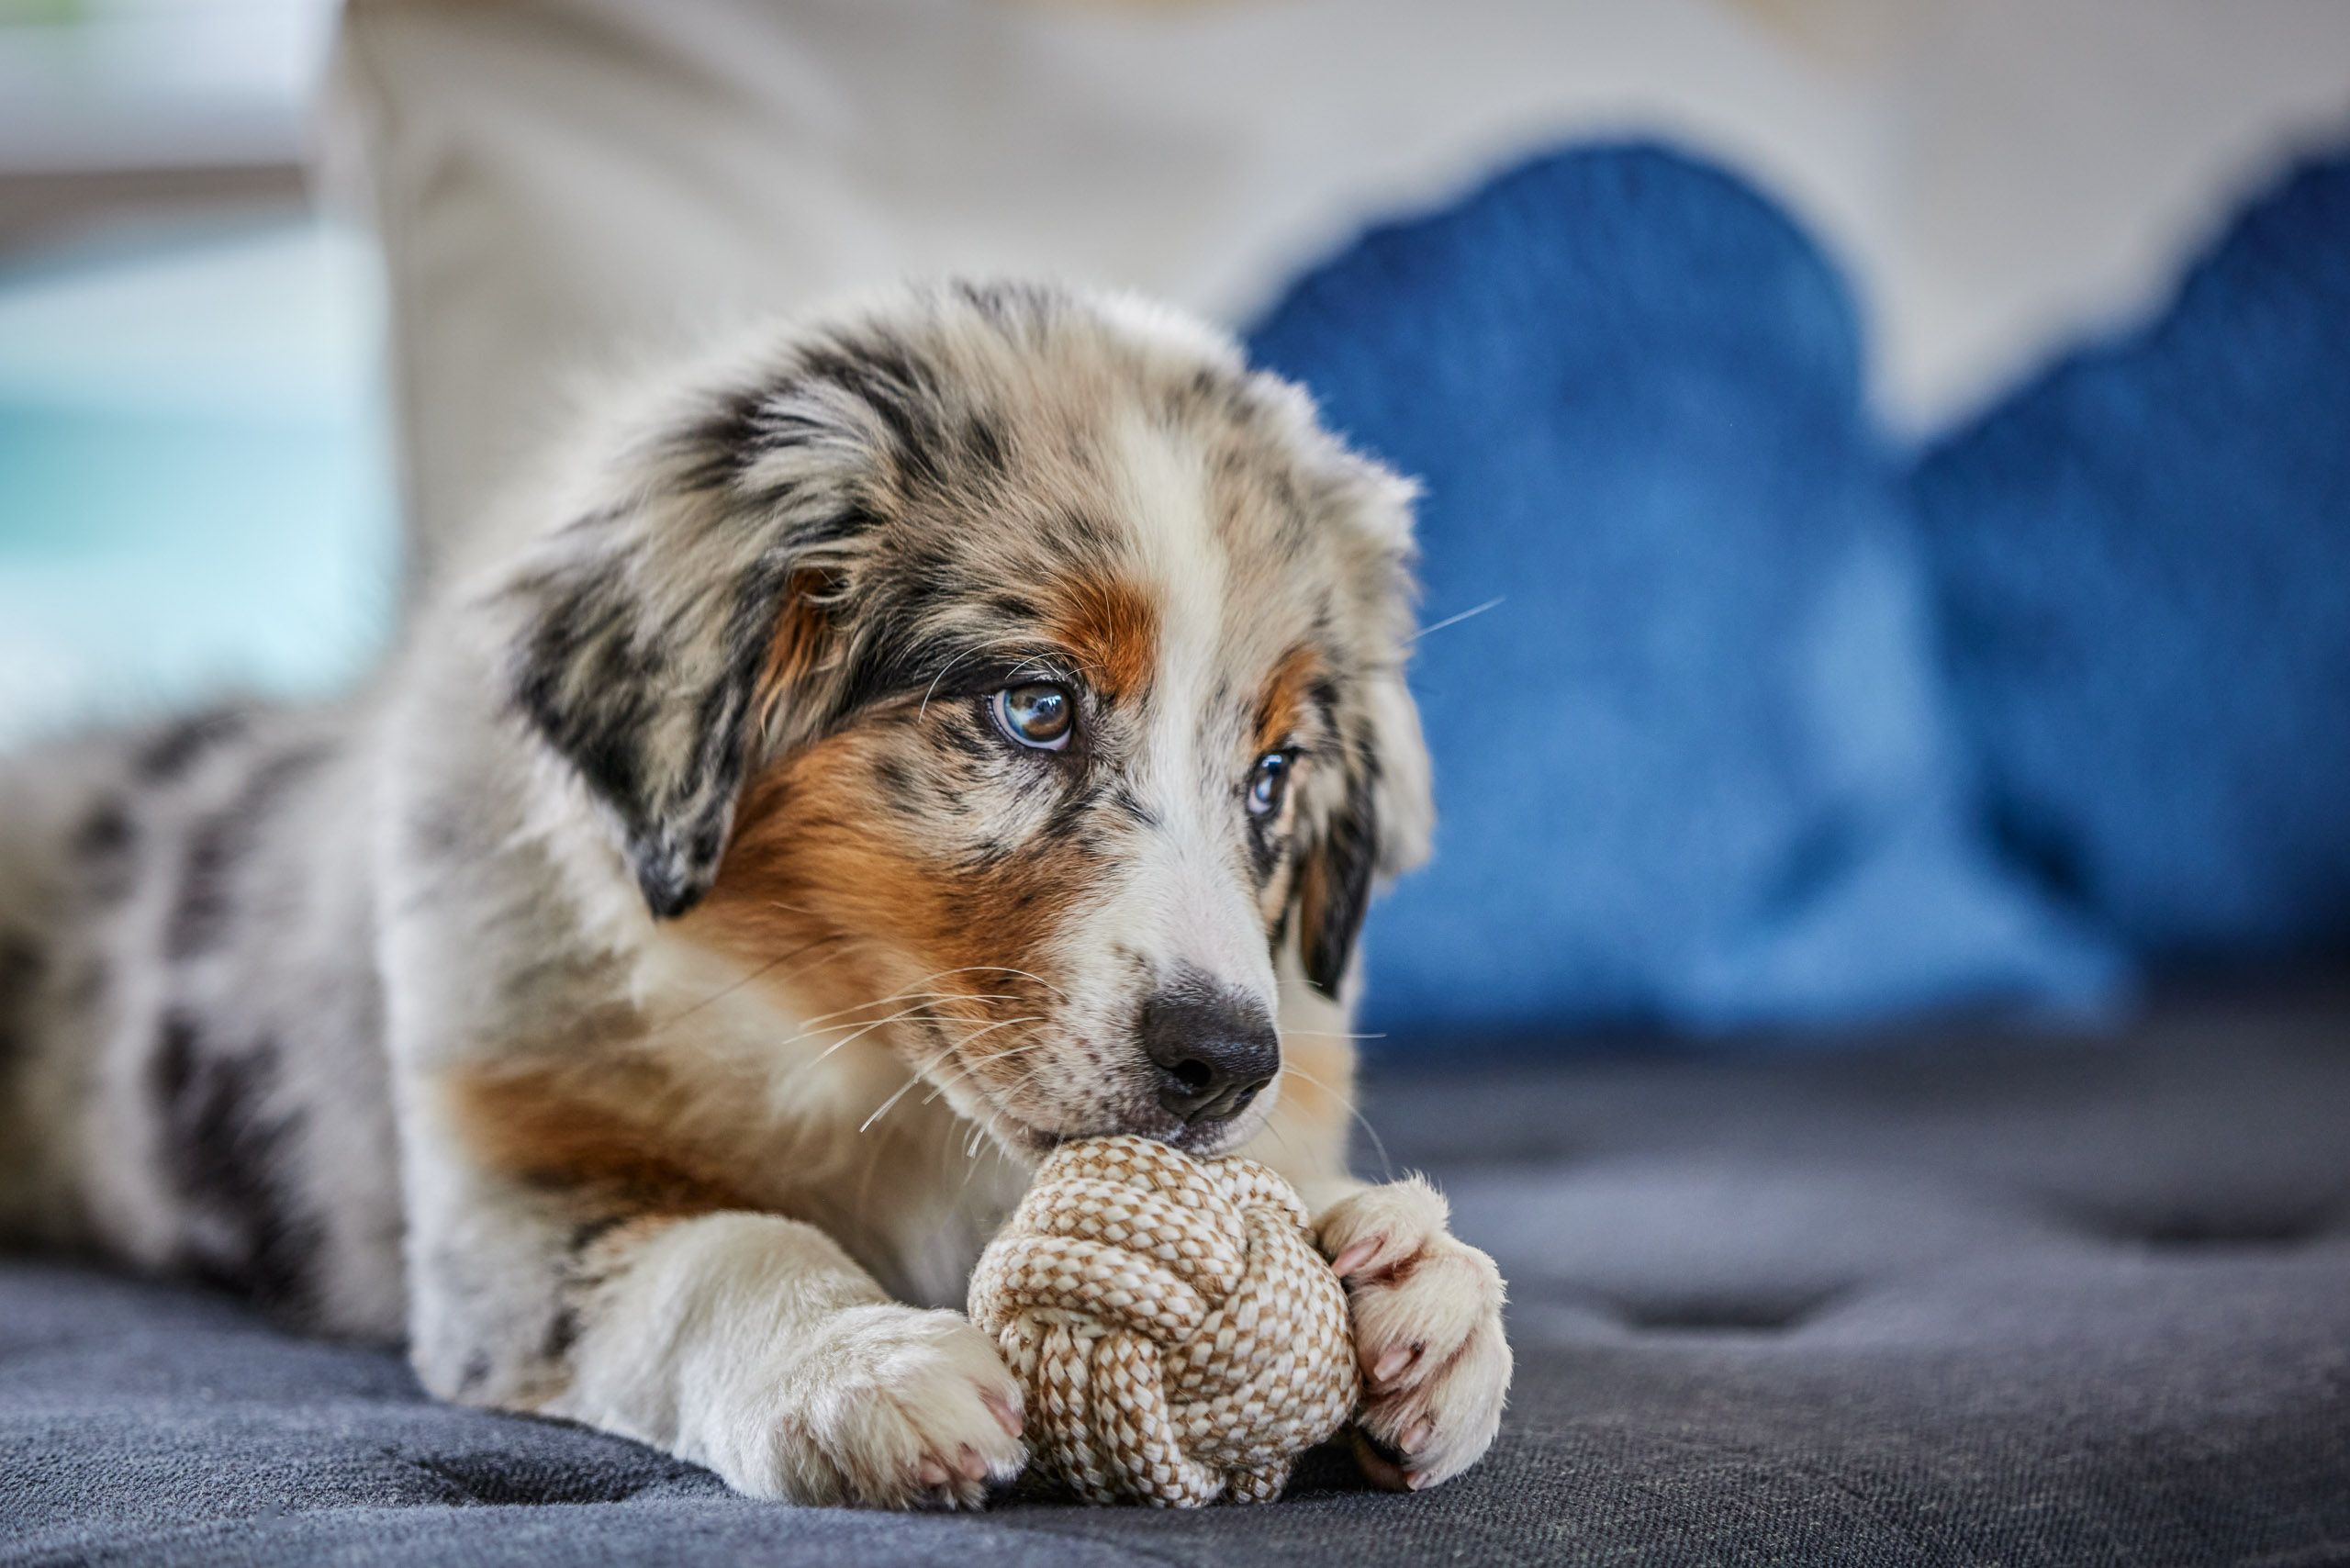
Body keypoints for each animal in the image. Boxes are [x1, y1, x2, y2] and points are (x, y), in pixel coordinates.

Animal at [0, 282, 1504, 1504]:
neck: (853, 1056)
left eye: (1273, 778)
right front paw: (859, 1366)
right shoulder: (500, 1201)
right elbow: (718, 1247)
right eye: (1035, 707)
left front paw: (1408, 1280)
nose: (1226, 1062)